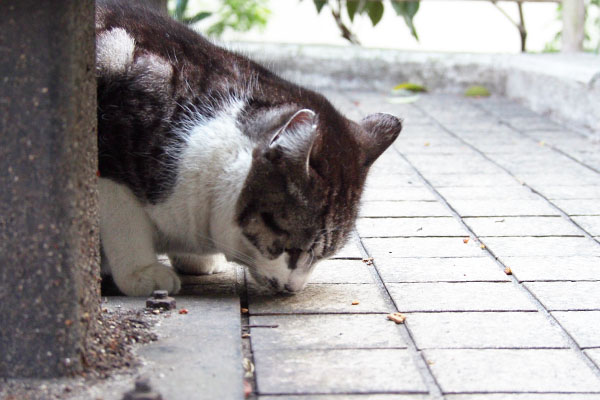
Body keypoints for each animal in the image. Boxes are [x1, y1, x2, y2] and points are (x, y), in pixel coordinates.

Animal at [95, 0, 404, 296]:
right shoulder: (110, 169)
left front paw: (194, 260)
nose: (294, 289)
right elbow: (125, 224)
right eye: (293, 250)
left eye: (323, 256)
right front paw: (141, 273)